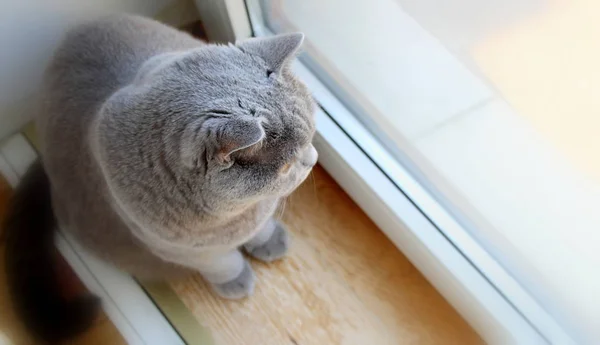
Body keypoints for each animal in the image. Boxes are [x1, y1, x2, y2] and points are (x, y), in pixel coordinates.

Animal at [4, 14, 316, 342]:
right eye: (287, 166)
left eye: (311, 134)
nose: (312, 158)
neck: (235, 214)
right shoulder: (178, 248)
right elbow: (223, 261)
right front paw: (236, 279)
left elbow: (260, 227)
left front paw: (269, 239)